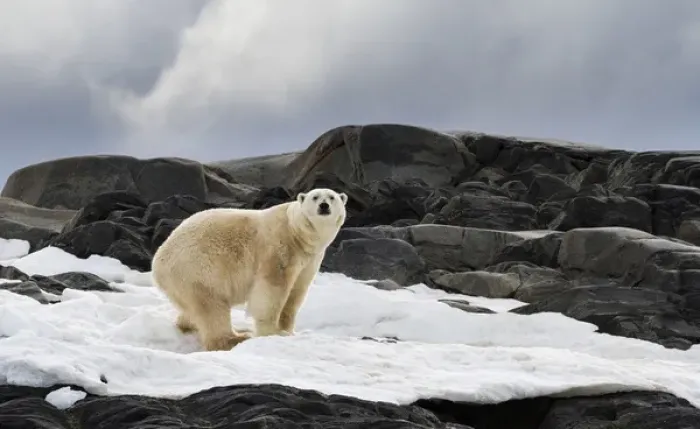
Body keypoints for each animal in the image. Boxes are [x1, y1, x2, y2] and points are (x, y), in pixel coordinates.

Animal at [151, 188, 348, 352]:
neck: (297, 233)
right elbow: (272, 289)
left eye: (332, 197)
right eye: (315, 197)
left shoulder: (309, 259)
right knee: (212, 308)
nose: (324, 206)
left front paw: (288, 330)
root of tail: (158, 261)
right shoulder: (279, 247)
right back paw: (236, 338)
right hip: (198, 269)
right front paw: (272, 332)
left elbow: (296, 292)